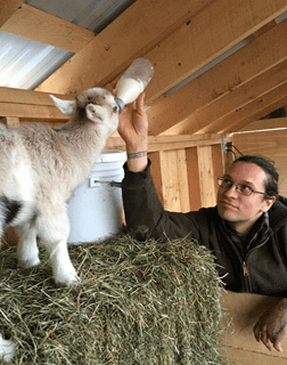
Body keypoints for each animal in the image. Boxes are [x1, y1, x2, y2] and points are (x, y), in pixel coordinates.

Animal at [0, 87, 119, 284]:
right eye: (115, 108)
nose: (122, 105)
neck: (66, 147)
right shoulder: (51, 199)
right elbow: (58, 236)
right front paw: (68, 277)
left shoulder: (30, 206)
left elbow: (26, 229)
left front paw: (28, 261)